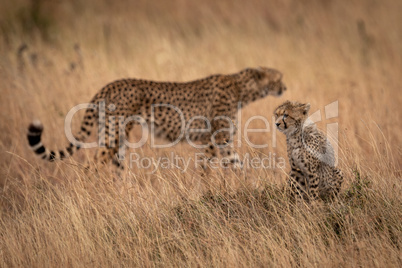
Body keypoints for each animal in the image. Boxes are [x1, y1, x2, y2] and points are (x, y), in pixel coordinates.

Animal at [27, 68, 286, 171]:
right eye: (278, 78)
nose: (285, 87)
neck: (241, 88)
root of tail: (109, 85)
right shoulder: (217, 139)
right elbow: (217, 167)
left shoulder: (215, 141)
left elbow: (229, 165)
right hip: (114, 135)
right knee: (91, 167)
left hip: (115, 138)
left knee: (115, 169)